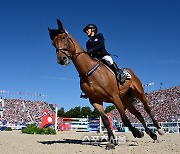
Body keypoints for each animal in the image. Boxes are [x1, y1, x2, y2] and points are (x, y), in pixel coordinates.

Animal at [48, 19, 164, 148]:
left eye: (64, 37)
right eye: (53, 43)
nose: (61, 60)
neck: (90, 73)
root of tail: (130, 71)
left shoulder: (114, 97)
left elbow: (125, 119)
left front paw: (137, 133)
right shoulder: (95, 101)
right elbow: (105, 121)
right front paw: (112, 142)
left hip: (139, 93)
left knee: (147, 108)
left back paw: (159, 129)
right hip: (125, 100)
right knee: (138, 114)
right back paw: (152, 134)